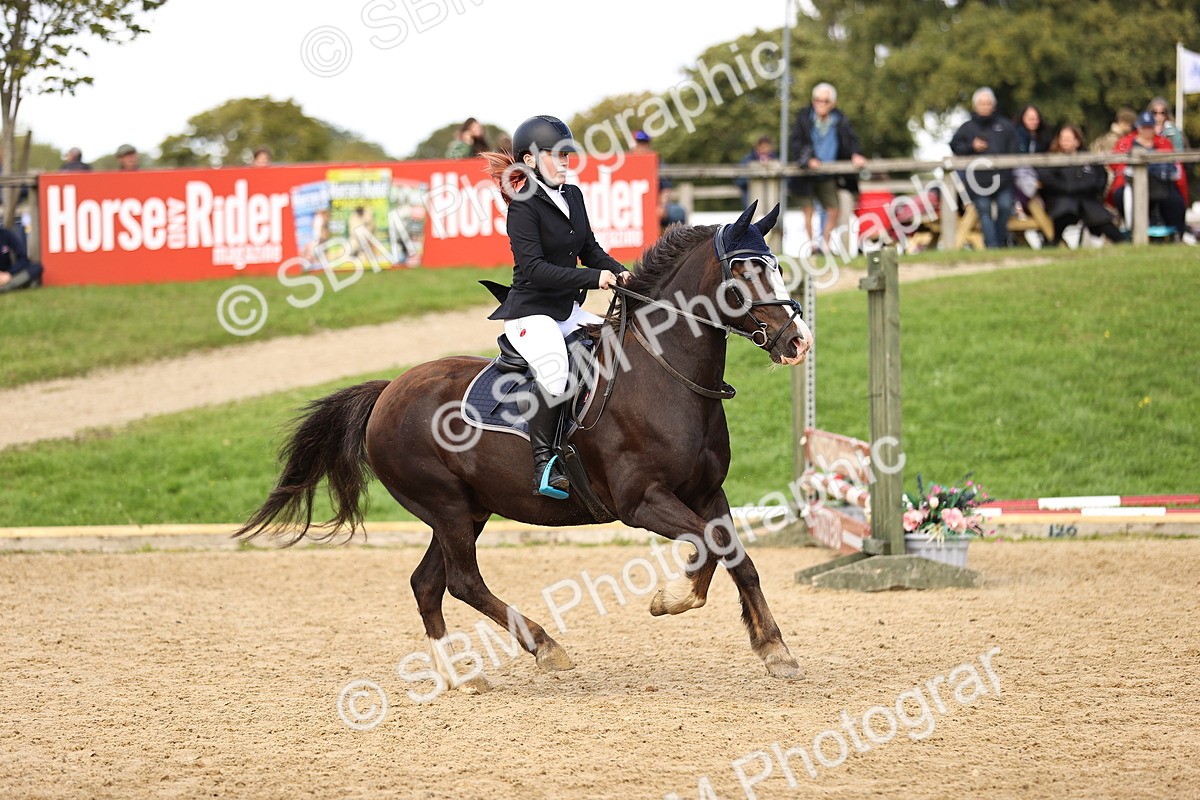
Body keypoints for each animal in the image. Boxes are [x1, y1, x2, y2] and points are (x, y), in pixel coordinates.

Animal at [236, 201, 813, 692]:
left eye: (776, 266)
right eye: (743, 272)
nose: (797, 342)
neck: (663, 374)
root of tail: (388, 391)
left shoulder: (708, 492)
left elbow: (735, 555)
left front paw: (775, 649)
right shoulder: (641, 501)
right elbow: (709, 546)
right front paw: (670, 600)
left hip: (466, 510)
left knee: (428, 584)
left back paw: (460, 676)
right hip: (446, 505)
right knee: (462, 581)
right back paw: (545, 646)